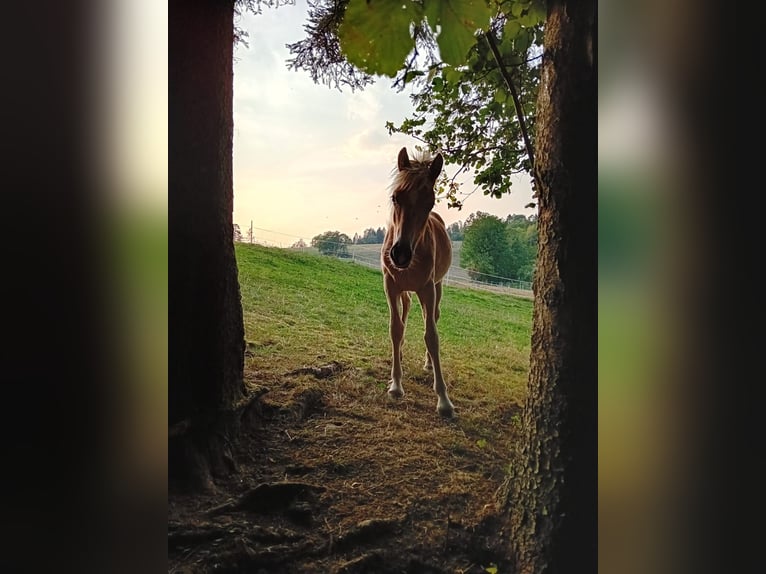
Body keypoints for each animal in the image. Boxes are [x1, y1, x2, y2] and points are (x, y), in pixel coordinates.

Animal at [382, 148, 456, 418]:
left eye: (430, 202)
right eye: (395, 197)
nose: (400, 254)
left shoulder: (427, 289)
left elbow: (431, 336)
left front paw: (444, 399)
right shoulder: (391, 285)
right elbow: (396, 329)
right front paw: (395, 385)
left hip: (437, 287)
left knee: (433, 317)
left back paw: (427, 363)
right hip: (404, 290)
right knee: (405, 311)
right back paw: (401, 353)